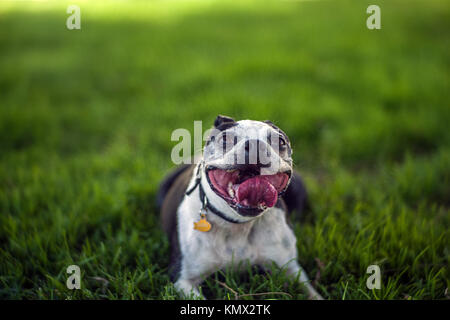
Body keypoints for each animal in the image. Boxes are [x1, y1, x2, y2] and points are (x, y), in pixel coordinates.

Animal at [156, 115, 322, 300]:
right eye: (225, 139)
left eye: (280, 141)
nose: (256, 145)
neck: (238, 224)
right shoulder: (183, 279)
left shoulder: (291, 269)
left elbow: (312, 293)